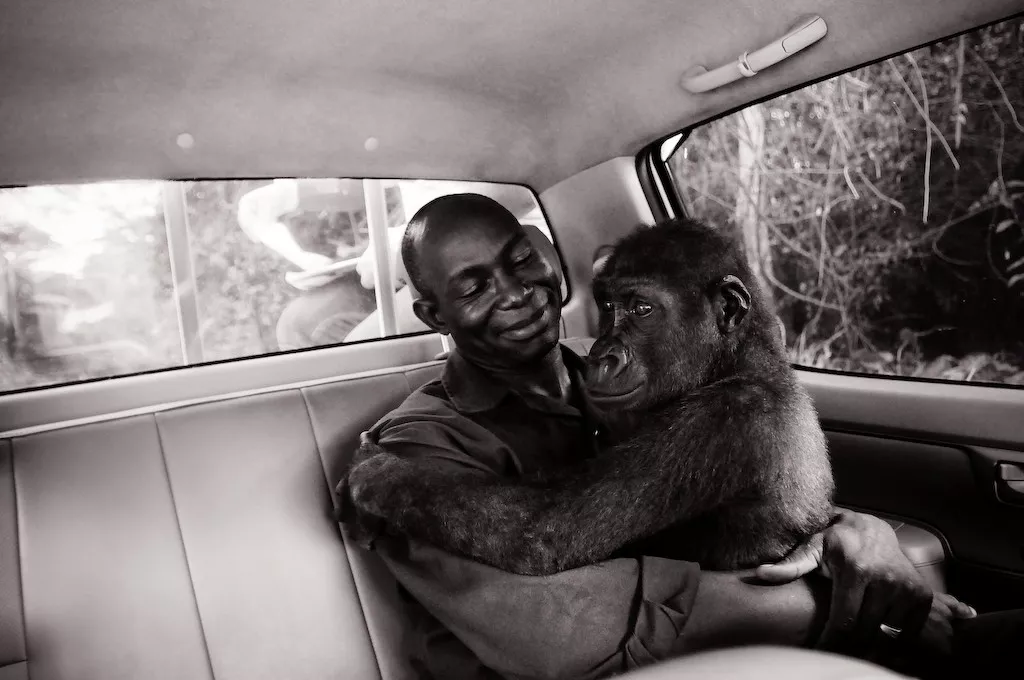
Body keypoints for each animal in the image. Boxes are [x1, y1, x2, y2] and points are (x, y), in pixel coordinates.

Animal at [348, 216, 835, 573]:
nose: (602, 354)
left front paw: (383, 475)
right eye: (606, 306)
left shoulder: (721, 421)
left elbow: (542, 528)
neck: (736, 361)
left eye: (641, 308)